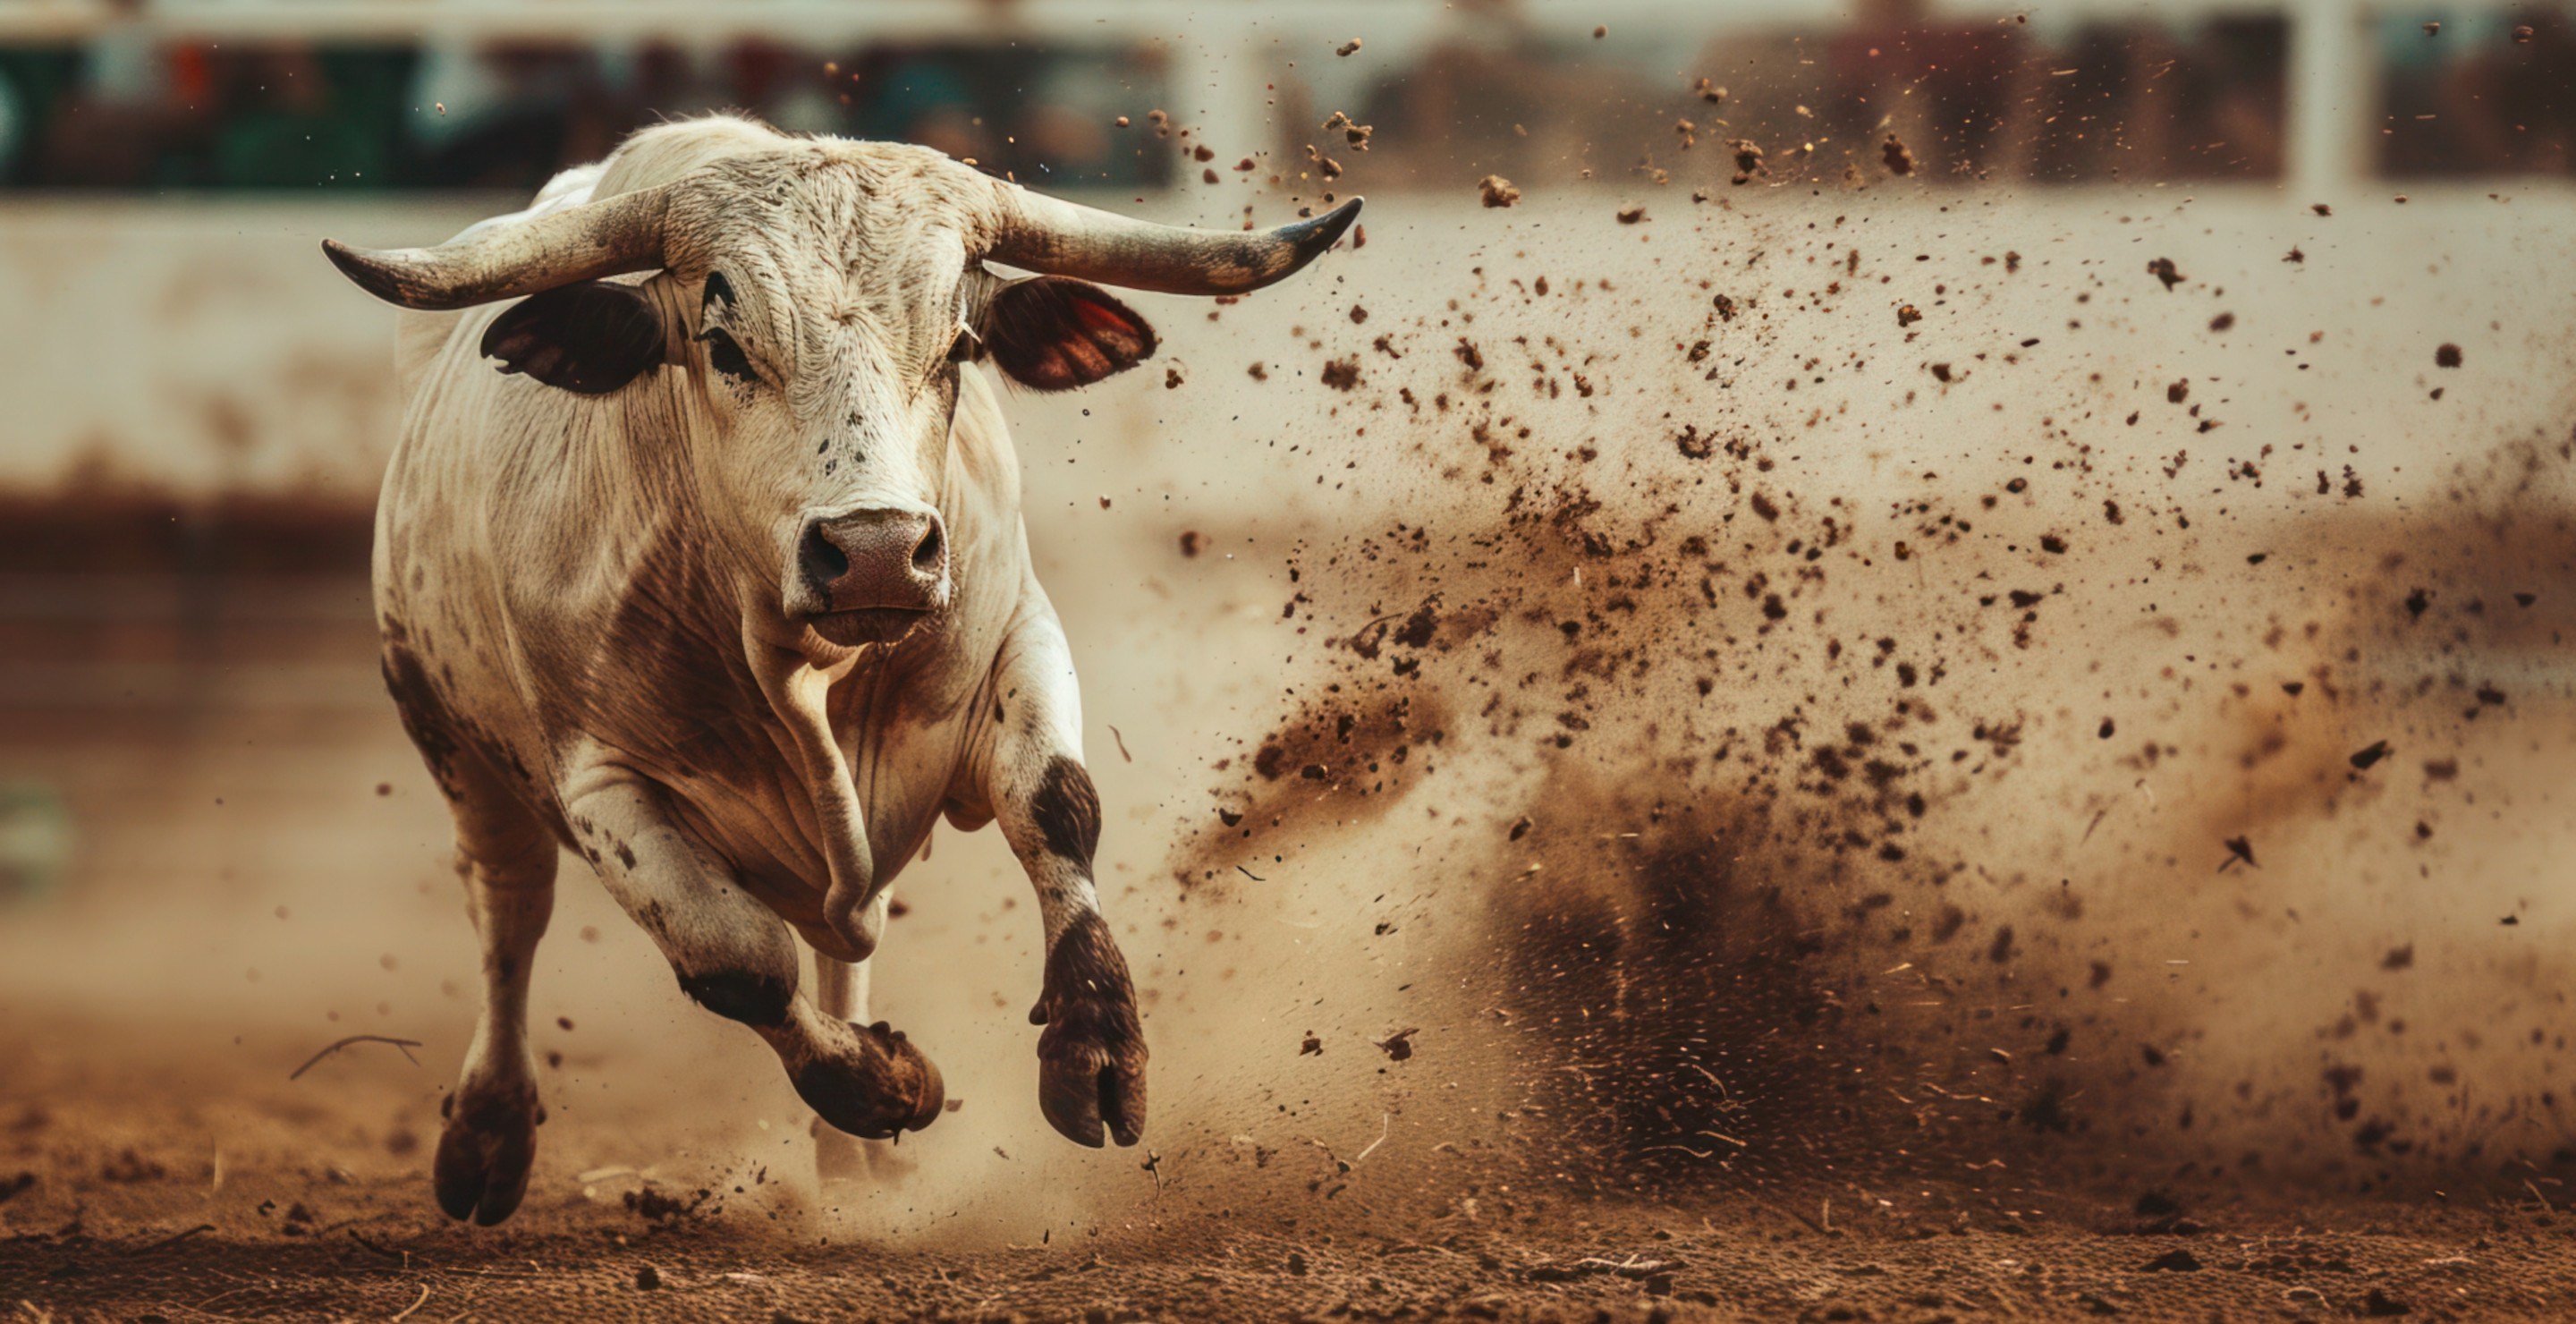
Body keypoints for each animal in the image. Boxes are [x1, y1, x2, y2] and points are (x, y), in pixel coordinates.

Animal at [321, 115, 1359, 1225]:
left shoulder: (1019, 634)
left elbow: (1059, 809)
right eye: (724, 345)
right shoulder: (598, 782)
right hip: (450, 739)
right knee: (509, 910)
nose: (875, 549)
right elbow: (735, 958)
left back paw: (853, 1160)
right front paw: (885, 1083)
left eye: (961, 345)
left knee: (841, 931)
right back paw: (489, 1133)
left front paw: (1097, 1051)